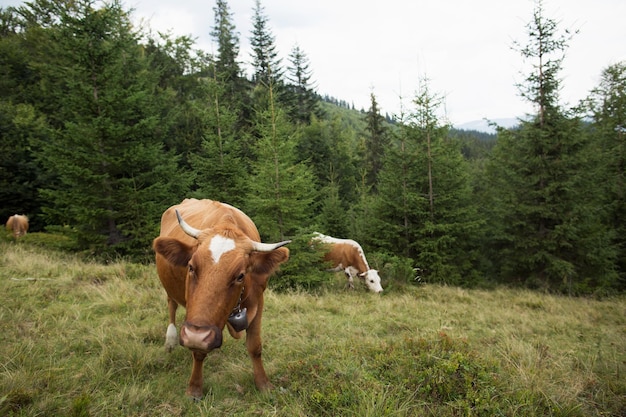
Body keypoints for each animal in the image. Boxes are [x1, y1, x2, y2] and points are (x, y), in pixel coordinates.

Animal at [152, 198, 288, 396]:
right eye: (191, 266)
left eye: (240, 275)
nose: (195, 336)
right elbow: (199, 351)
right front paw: (194, 388)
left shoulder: (259, 300)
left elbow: (255, 346)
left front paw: (264, 384)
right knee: (172, 304)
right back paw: (170, 341)